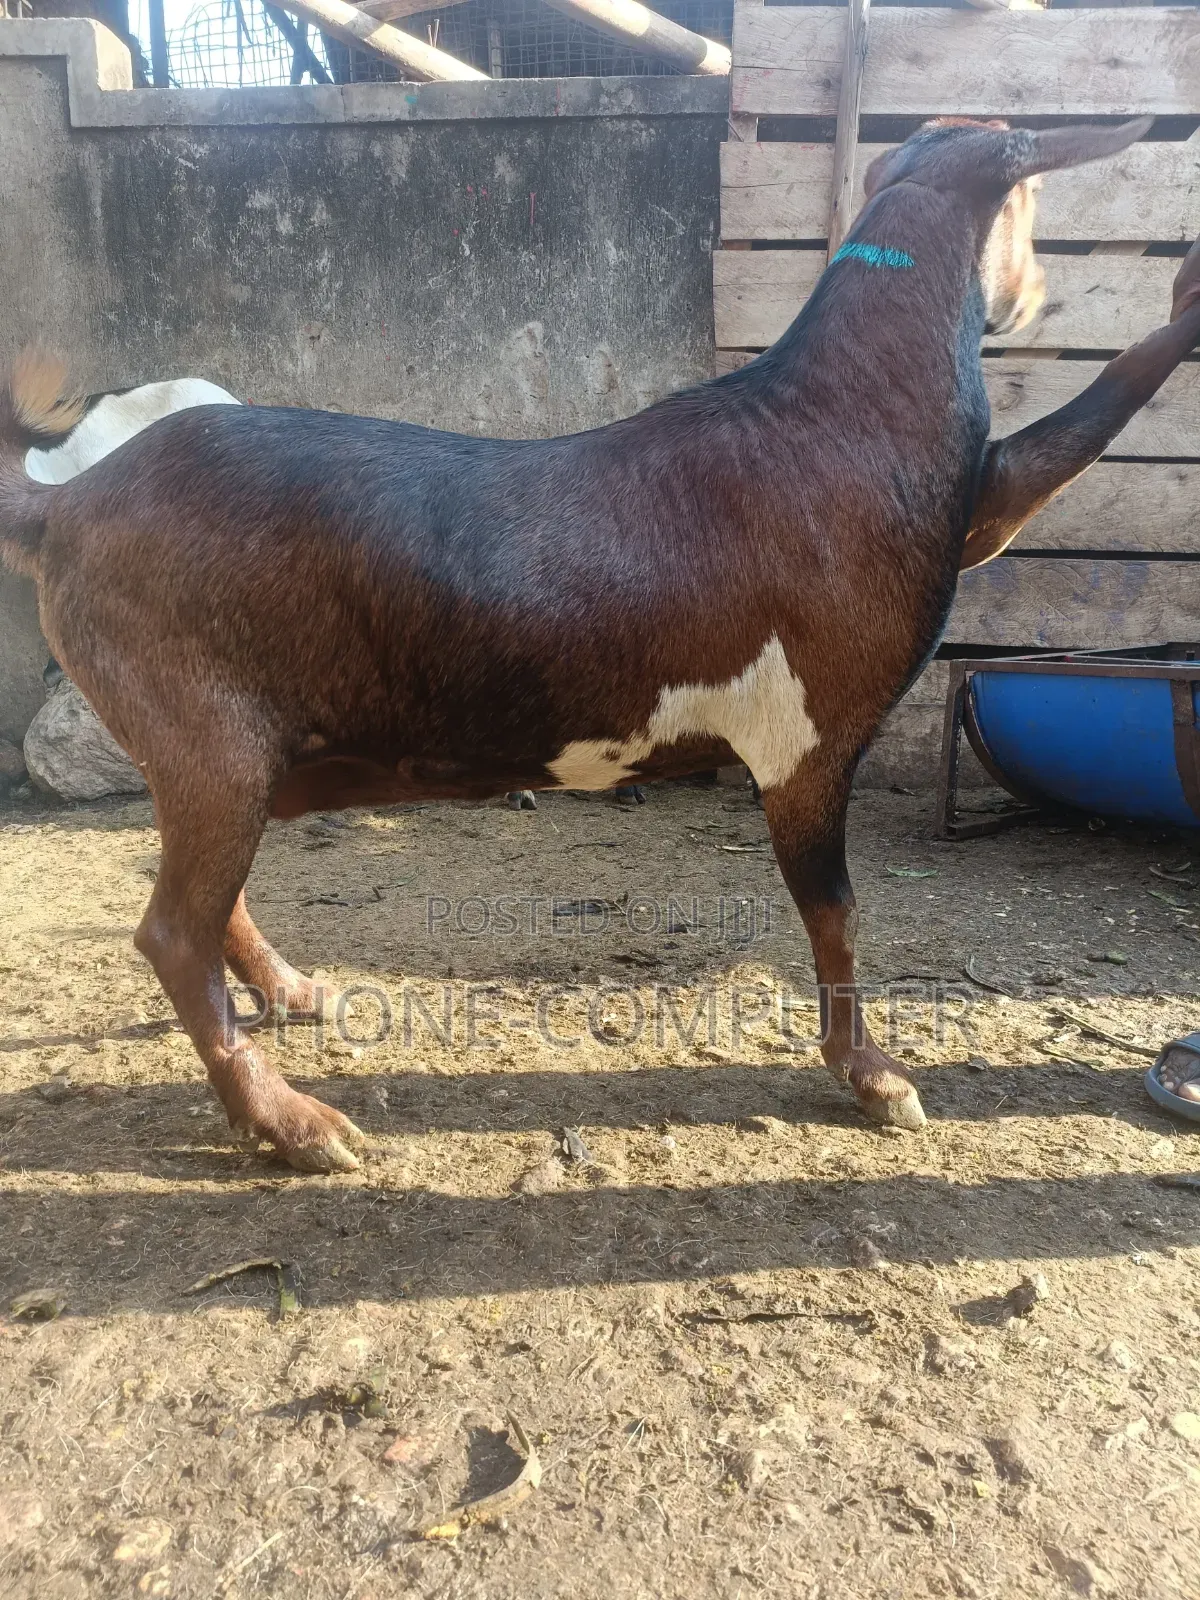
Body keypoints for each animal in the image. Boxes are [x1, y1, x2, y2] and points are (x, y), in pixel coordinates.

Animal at [2, 117, 1196, 1174]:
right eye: (1032, 202)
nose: (1038, 296)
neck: (837, 415)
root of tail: (68, 506)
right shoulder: (808, 742)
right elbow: (837, 915)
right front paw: (872, 1077)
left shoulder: (971, 513)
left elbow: (1056, 449)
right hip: (200, 721)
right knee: (172, 932)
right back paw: (291, 1124)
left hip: (228, 745)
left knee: (211, 899)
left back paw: (293, 993)